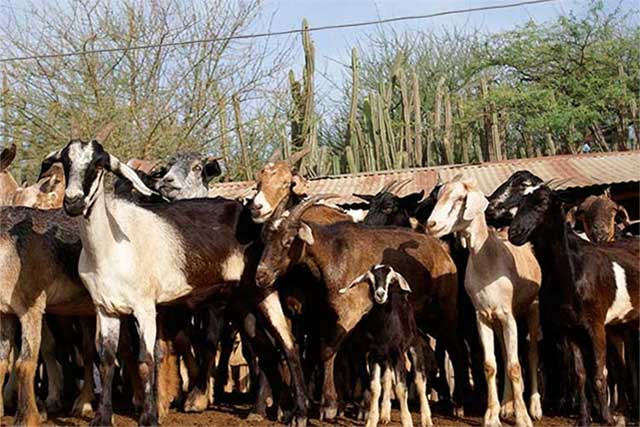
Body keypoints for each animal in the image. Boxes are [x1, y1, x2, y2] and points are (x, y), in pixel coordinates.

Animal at [42, 132, 308, 426]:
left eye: (98, 165)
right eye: (66, 161)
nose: (73, 202)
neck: (110, 246)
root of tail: (251, 218)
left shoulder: (145, 307)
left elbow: (146, 359)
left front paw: (150, 416)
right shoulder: (105, 309)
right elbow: (106, 360)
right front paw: (103, 417)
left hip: (264, 288)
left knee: (289, 345)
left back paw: (299, 413)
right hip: (240, 301)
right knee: (266, 350)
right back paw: (277, 409)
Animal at [340, 266, 436, 426]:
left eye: (391, 280)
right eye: (370, 280)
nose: (380, 294)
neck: (383, 329)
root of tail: (401, 295)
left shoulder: (398, 355)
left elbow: (401, 388)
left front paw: (407, 421)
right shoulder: (374, 356)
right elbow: (375, 387)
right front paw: (371, 420)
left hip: (413, 347)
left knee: (419, 382)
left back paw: (427, 419)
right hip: (385, 359)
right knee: (387, 379)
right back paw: (385, 415)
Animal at [428, 176, 544, 427]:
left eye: (460, 198)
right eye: (439, 196)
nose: (432, 224)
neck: (487, 259)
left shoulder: (509, 316)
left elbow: (514, 366)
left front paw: (523, 417)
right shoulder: (483, 316)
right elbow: (491, 365)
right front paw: (492, 415)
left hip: (532, 308)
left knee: (530, 353)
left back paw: (534, 407)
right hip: (497, 320)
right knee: (505, 352)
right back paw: (507, 407)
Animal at [508, 186, 636, 426]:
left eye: (542, 203)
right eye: (519, 204)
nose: (514, 233)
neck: (573, 273)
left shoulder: (595, 324)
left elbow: (599, 373)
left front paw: (607, 418)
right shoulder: (570, 328)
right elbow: (580, 374)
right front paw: (585, 418)